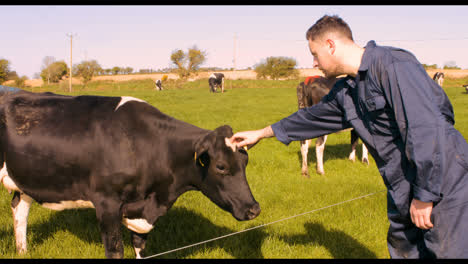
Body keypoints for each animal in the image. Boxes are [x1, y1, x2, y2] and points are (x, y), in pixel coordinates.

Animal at [0, 87, 262, 258]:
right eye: (221, 167)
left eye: (245, 161)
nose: (254, 209)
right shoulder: (106, 203)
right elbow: (115, 250)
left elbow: (139, 247)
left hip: (24, 180)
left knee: (19, 210)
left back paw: (22, 252)